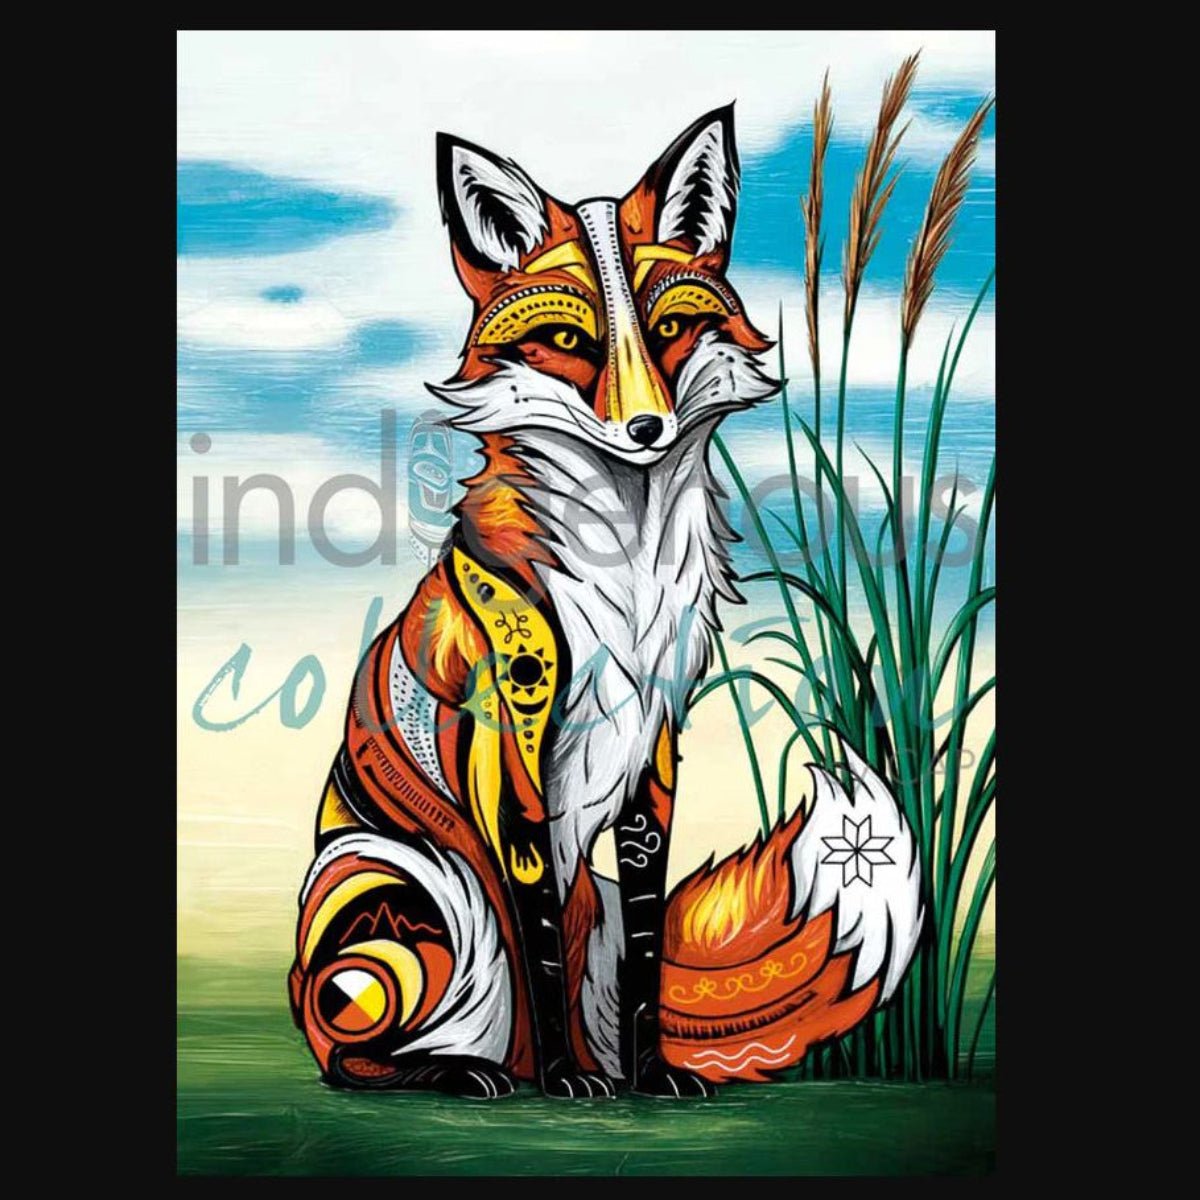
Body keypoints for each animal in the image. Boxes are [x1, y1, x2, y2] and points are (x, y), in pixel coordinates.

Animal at [288, 105, 922, 1100]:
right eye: (571, 343)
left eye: (672, 329)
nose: (646, 428)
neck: (627, 570)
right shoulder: (511, 770)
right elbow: (539, 942)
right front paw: (561, 1084)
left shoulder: (655, 748)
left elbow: (651, 946)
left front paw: (650, 1077)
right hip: (403, 892)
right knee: (363, 1050)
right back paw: (469, 1072)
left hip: (576, 908)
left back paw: (586, 1068)